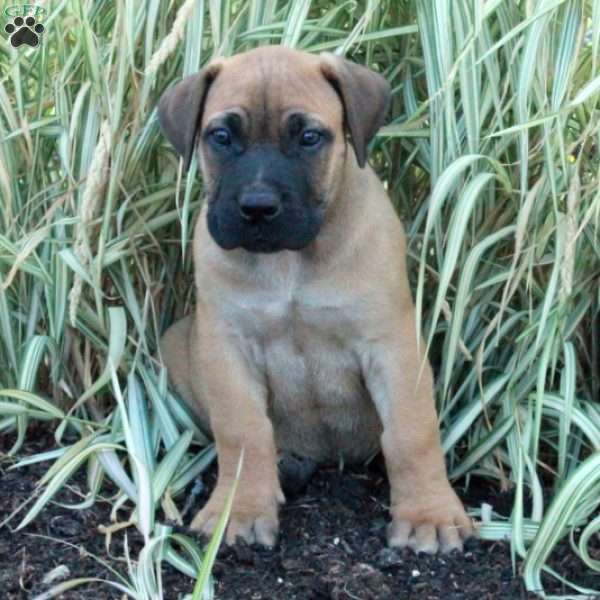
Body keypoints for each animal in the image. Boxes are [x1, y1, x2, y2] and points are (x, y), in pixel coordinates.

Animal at [158, 45, 474, 552]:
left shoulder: (392, 345)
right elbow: (242, 430)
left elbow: (412, 432)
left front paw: (428, 514)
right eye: (221, 136)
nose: (257, 206)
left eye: (309, 137)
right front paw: (240, 510)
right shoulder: (226, 347)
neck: (290, 261)